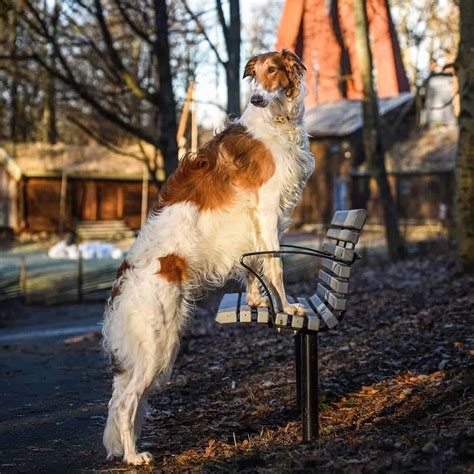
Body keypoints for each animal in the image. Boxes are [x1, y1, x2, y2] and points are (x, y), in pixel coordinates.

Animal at [101, 50, 314, 464]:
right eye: (255, 75)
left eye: (273, 70)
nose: (256, 99)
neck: (273, 122)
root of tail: (123, 279)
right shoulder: (266, 208)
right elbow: (276, 266)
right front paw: (286, 308)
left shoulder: (258, 220)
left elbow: (257, 265)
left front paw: (257, 301)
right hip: (158, 344)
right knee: (125, 402)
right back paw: (135, 457)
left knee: (119, 400)